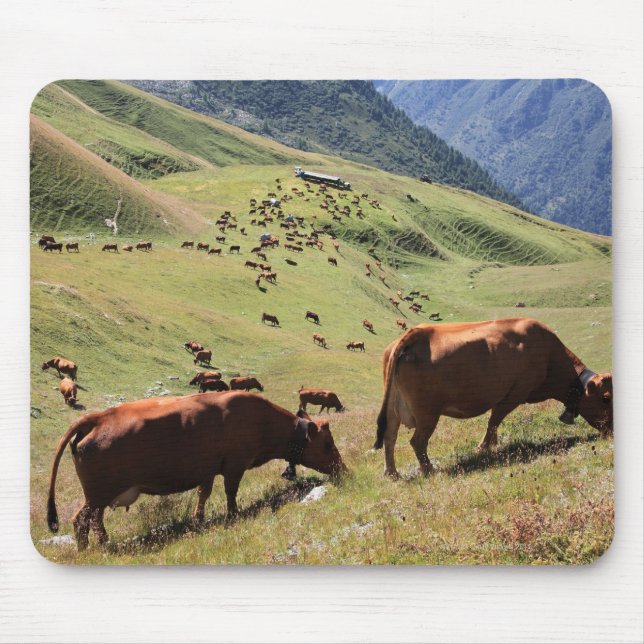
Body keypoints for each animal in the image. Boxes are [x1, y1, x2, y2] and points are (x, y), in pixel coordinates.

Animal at [46, 392, 346, 549]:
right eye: (328, 444)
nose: (343, 470)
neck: (260, 421)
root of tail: (97, 417)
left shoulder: (207, 469)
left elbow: (204, 494)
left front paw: (198, 520)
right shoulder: (235, 464)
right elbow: (230, 493)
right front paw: (233, 515)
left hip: (101, 496)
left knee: (94, 520)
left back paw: (102, 543)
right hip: (98, 493)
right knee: (80, 520)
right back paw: (91, 549)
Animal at [373, 318, 614, 478]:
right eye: (606, 398)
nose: (611, 430)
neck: (549, 356)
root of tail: (414, 334)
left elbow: (493, 423)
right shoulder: (514, 394)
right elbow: (494, 420)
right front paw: (484, 448)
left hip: (394, 409)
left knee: (389, 437)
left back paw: (392, 473)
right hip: (427, 412)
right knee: (417, 441)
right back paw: (430, 470)